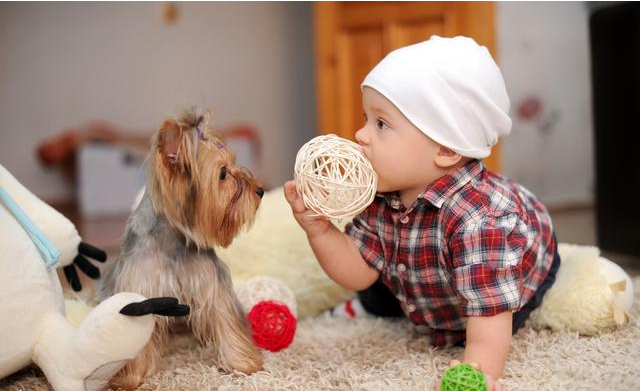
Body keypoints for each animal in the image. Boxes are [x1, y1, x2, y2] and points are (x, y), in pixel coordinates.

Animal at [95, 108, 264, 390]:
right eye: (222, 174)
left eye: (233, 163)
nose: (260, 190)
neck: (172, 241)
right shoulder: (141, 289)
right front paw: (130, 378)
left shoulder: (211, 285)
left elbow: (226, 322)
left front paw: (242, 364)